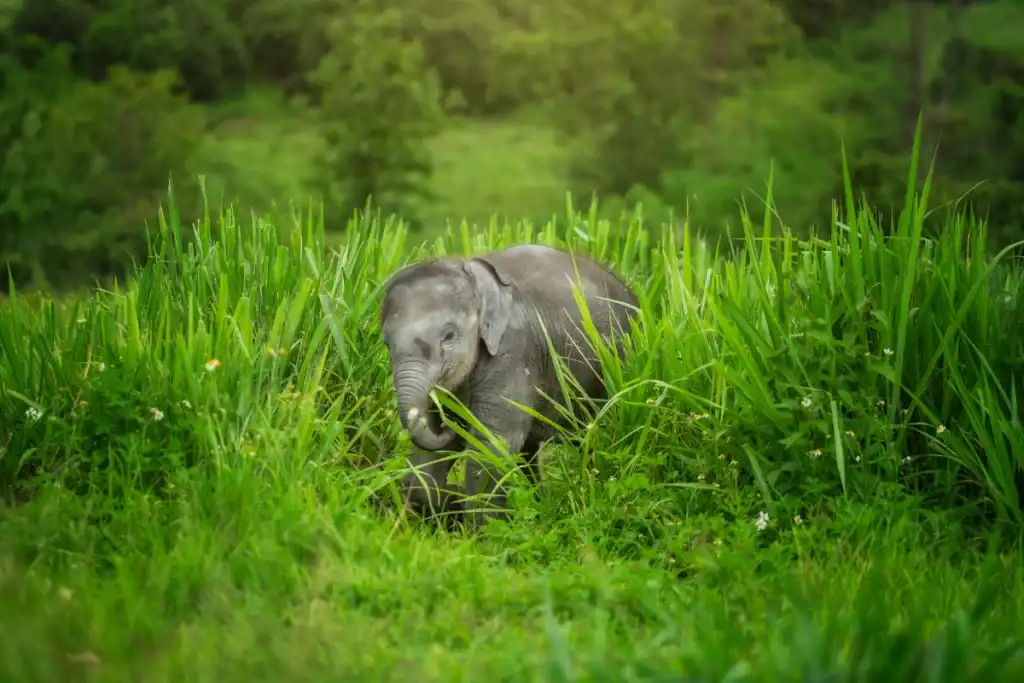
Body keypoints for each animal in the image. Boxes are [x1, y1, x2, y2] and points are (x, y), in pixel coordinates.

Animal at [378, 243, 640, 529]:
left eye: (448, 336)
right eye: (386, 343)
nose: (450, 425)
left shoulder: (513, 350)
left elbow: (492, 444)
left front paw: (483, 532)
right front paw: (452, 504)